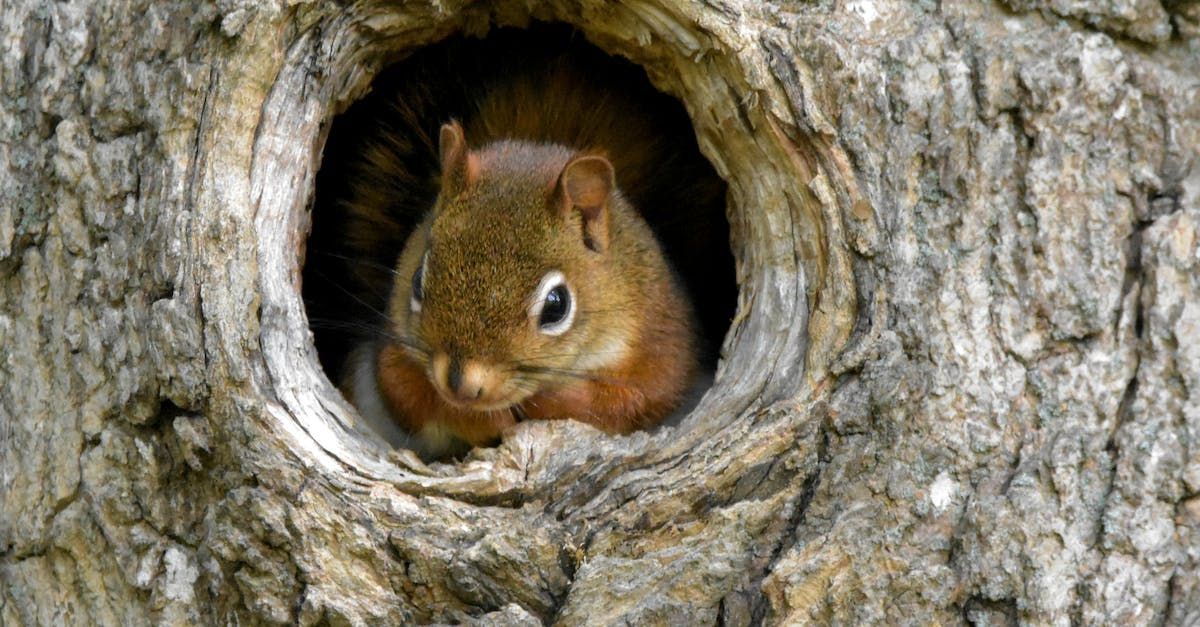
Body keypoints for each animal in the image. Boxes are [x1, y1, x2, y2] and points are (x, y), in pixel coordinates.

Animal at [306, 29, 730, 459]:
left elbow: (640, 399)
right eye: (417, 280)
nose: (462, 385)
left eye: (557, 306)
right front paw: (480, 416)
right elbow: (403, 390)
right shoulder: (393, 348)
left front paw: (551, 401)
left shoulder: (662, 341)